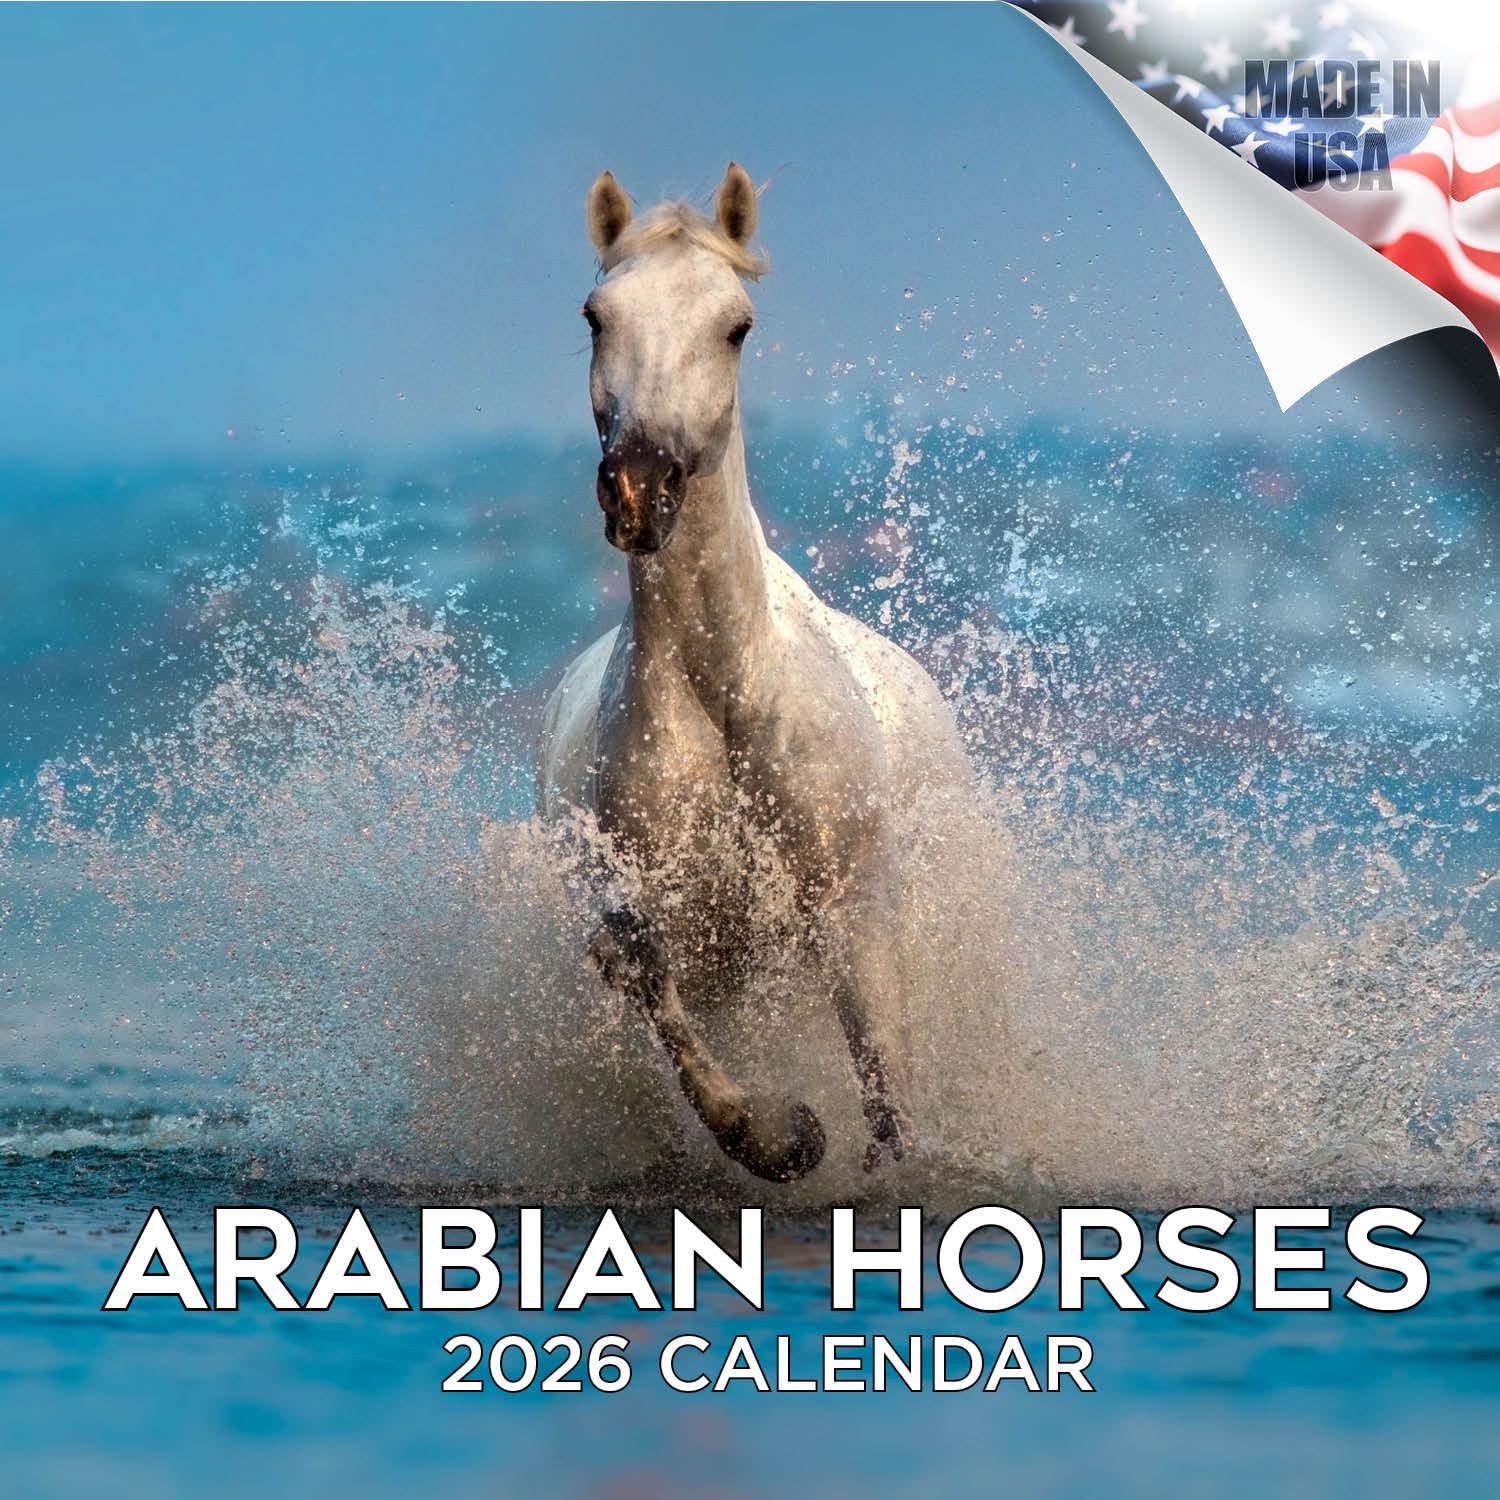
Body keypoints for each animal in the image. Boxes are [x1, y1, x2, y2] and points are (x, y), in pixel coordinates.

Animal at [535, 163, 976, 1183]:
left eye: (736, 324)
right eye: (595, 315)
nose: (640, 488)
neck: (726, 694)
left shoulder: (854, 911)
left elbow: (886, 1088)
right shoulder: (661, 920)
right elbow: (648, 982)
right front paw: (784, 1135)